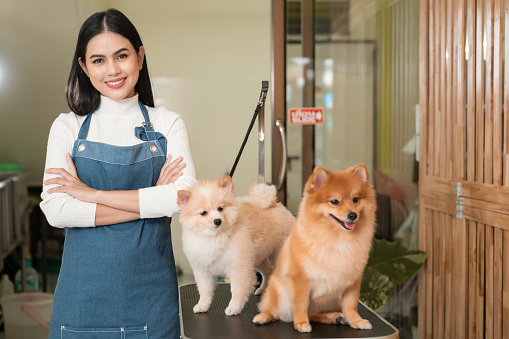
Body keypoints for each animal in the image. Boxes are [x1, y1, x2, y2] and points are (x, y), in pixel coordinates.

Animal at [177, 177, 294, 318]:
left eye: (220, 208)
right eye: (203, 213)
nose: (217, 221)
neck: (215, 237)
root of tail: (278, 205)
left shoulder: (239, 268)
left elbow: (237, 291)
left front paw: (234, 307)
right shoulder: (203, 270)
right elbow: (205, 291)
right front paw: (202, 305)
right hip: (258, 258)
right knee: (268, 272)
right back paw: (262, 289)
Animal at [252, 166, 376, 334]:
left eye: (355, 199)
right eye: (335, 202)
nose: (353, 215)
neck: (338, 238)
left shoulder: (353, 281)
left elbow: (351, 306)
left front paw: (356, 321)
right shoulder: (301, 280)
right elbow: (301, 305)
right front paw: (301, 323)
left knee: (314, 314)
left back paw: (336, 317)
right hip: (279, 292)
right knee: (274, 310)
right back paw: (264, 316)